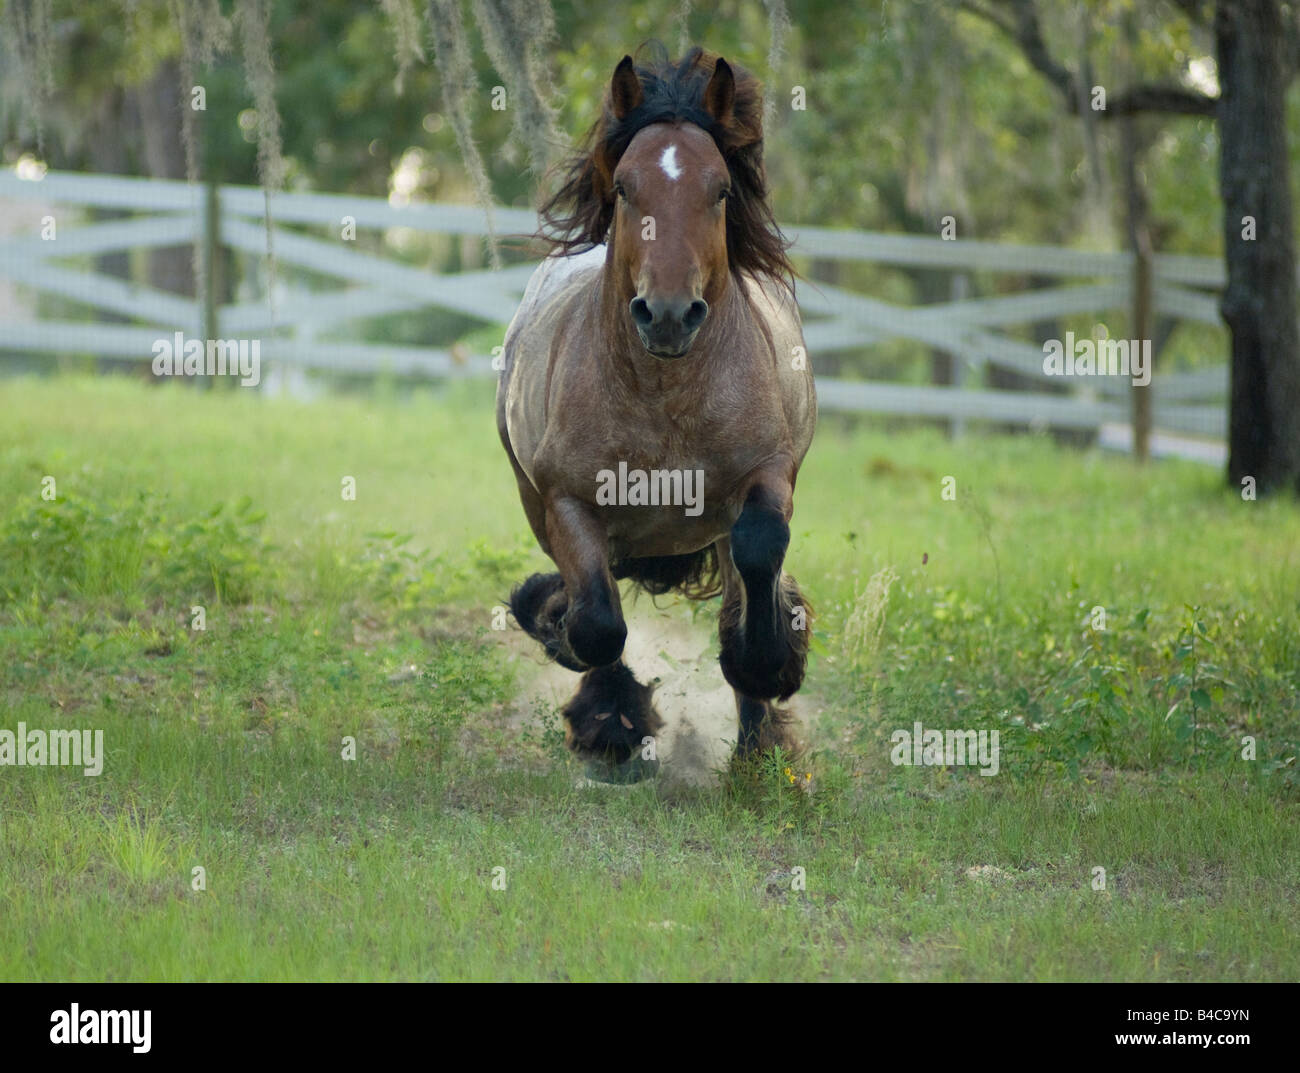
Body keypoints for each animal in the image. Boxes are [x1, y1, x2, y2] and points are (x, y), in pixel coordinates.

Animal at [497, 46, 817, 781]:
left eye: (721, 190)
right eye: (624, 189)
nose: (668, 314)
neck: (666, 397)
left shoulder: (765, 476)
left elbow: (761, 552)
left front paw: (768, 664)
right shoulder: (567, 502)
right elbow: (595, 621)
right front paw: (608, 711)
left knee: (739, 576)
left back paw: (756, 741)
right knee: (600, 596)